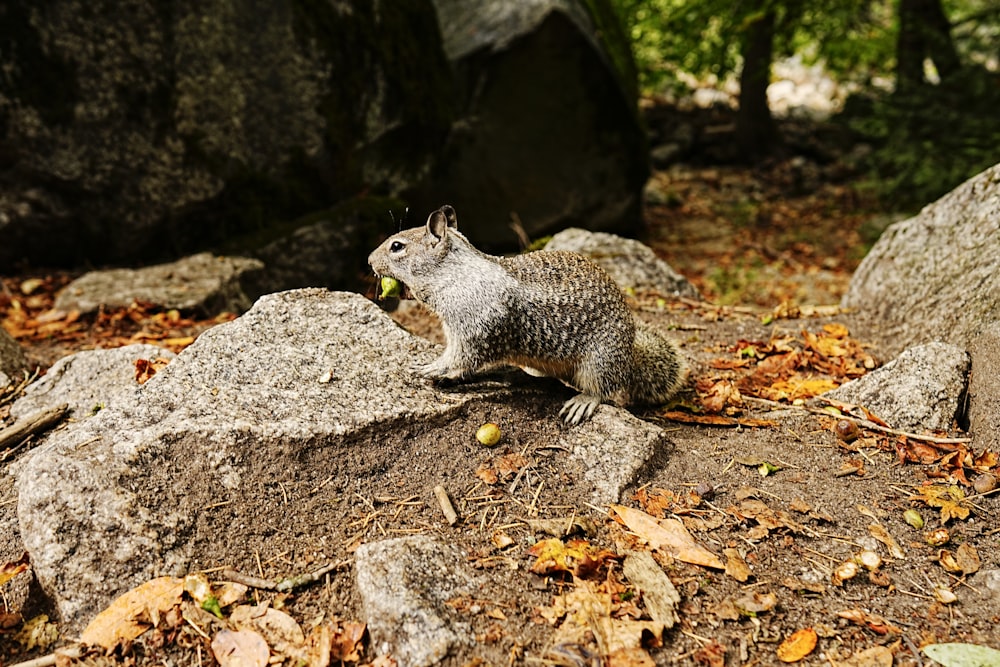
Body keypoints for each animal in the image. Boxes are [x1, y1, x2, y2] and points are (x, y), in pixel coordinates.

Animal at [368, 205, 688, 422]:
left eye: (397, 246)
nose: (369, 260)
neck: (455, 274)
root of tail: (630, 357)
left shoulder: (477, 327)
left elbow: (462, 357)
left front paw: (431, 367)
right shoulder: (454, 327)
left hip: (600, 361)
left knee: (604, 388)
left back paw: (583, 400)